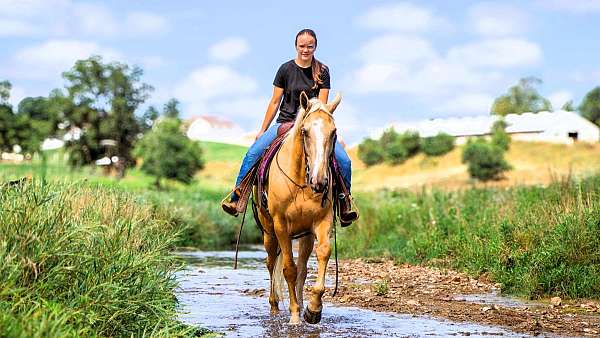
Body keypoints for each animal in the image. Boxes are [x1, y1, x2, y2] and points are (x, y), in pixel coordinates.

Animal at [256, 90, 342, 324]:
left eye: (334, 132)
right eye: (305, 131)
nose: (319, 181)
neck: (302, 182)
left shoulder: (322, 222)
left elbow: (323, 253)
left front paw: (312, 309)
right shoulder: (281, 226)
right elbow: (289, 269)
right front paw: (294, 315)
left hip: (305, 235)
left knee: (303, 268)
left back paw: (303, 304)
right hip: (269, 232)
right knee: (271, 263)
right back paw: (275, 306)